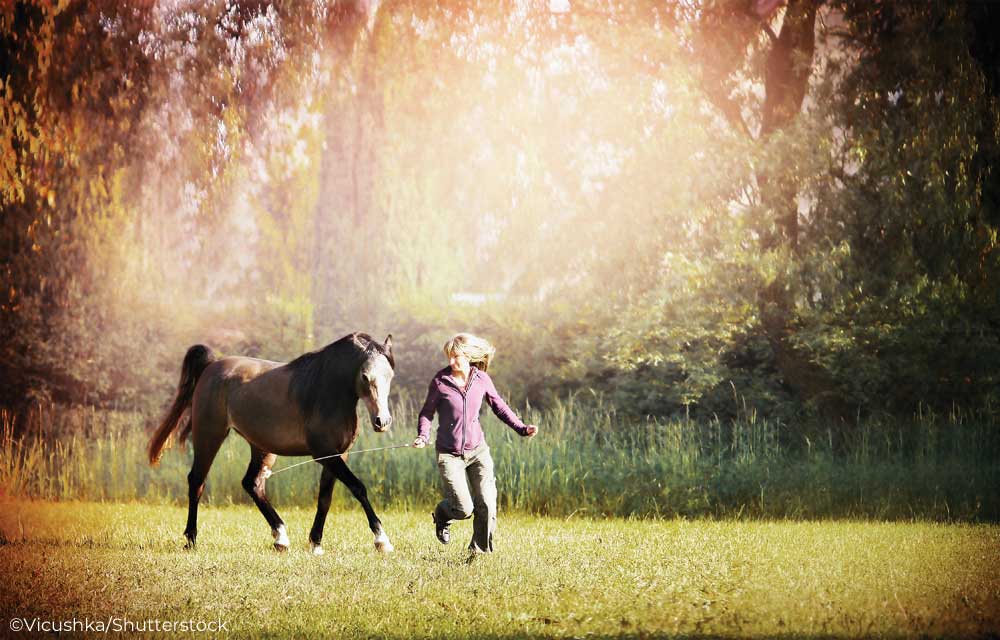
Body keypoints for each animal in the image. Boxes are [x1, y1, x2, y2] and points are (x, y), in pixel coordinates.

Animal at [149, 332, 398, 552]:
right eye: (365, 376)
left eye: (390, 375)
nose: (382, 421)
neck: (327, 393)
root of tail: (211, 365)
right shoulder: (324, 453)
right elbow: (358, 487)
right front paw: (382, 540)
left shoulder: (336, 454)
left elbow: (325, 499)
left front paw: (316, 543)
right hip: (209, 436)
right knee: (197, 482)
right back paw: (191, 539)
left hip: (261, 447)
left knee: (252, 484)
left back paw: (281, 538)